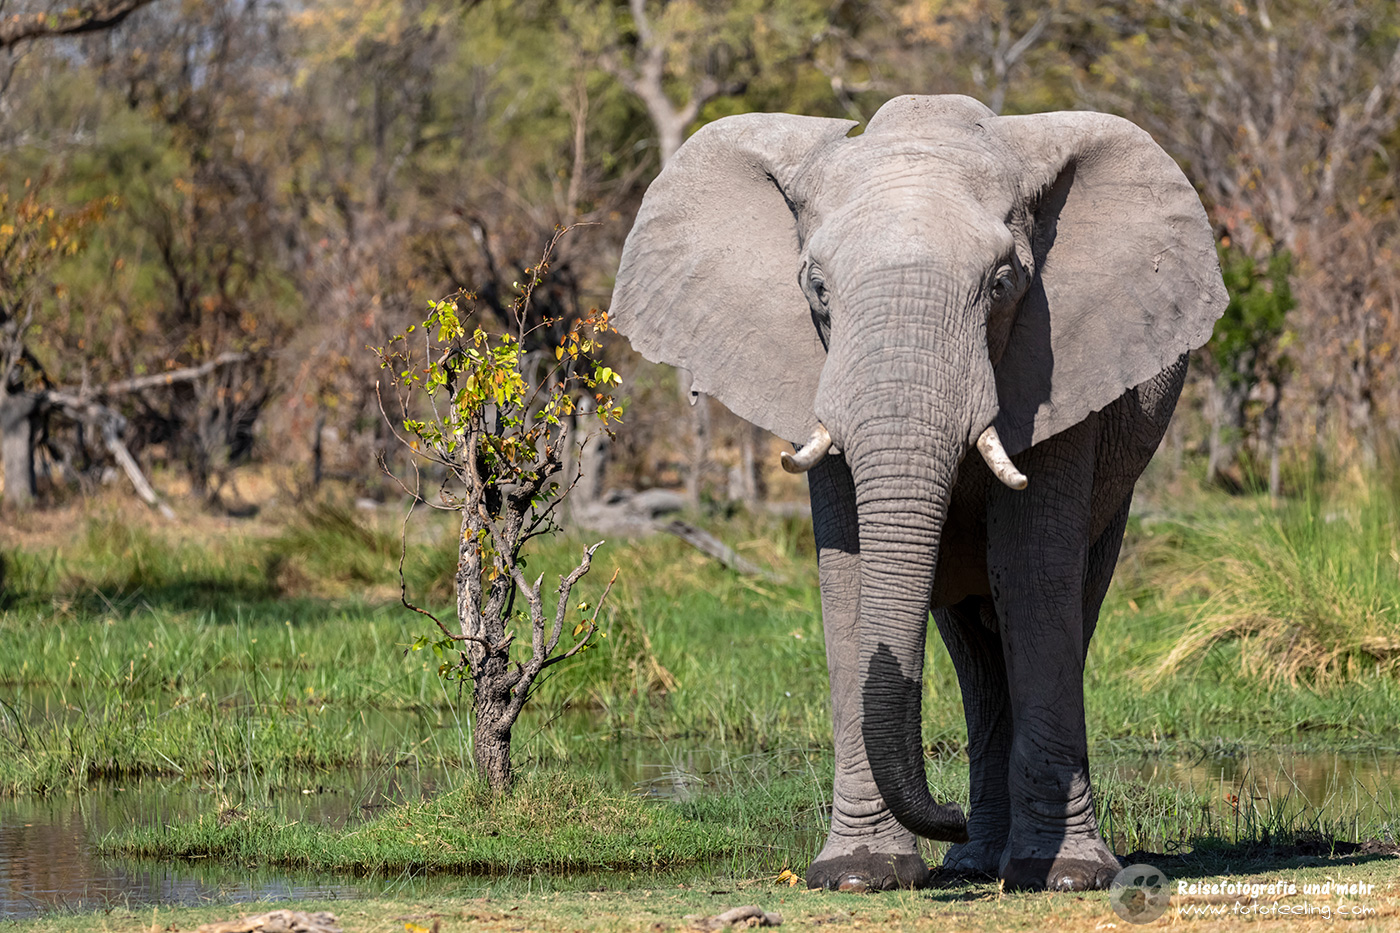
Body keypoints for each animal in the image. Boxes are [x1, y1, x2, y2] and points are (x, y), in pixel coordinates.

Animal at [609, 94, 1226, 893]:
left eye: (1001, 284)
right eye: (816, 287)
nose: (947, 814)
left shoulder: (1057, 361)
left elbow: (1032, 574)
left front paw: (1065, 874)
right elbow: (849, 577)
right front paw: (858, 872)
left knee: (1058, 605)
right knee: (974, 648)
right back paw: (975, 859)